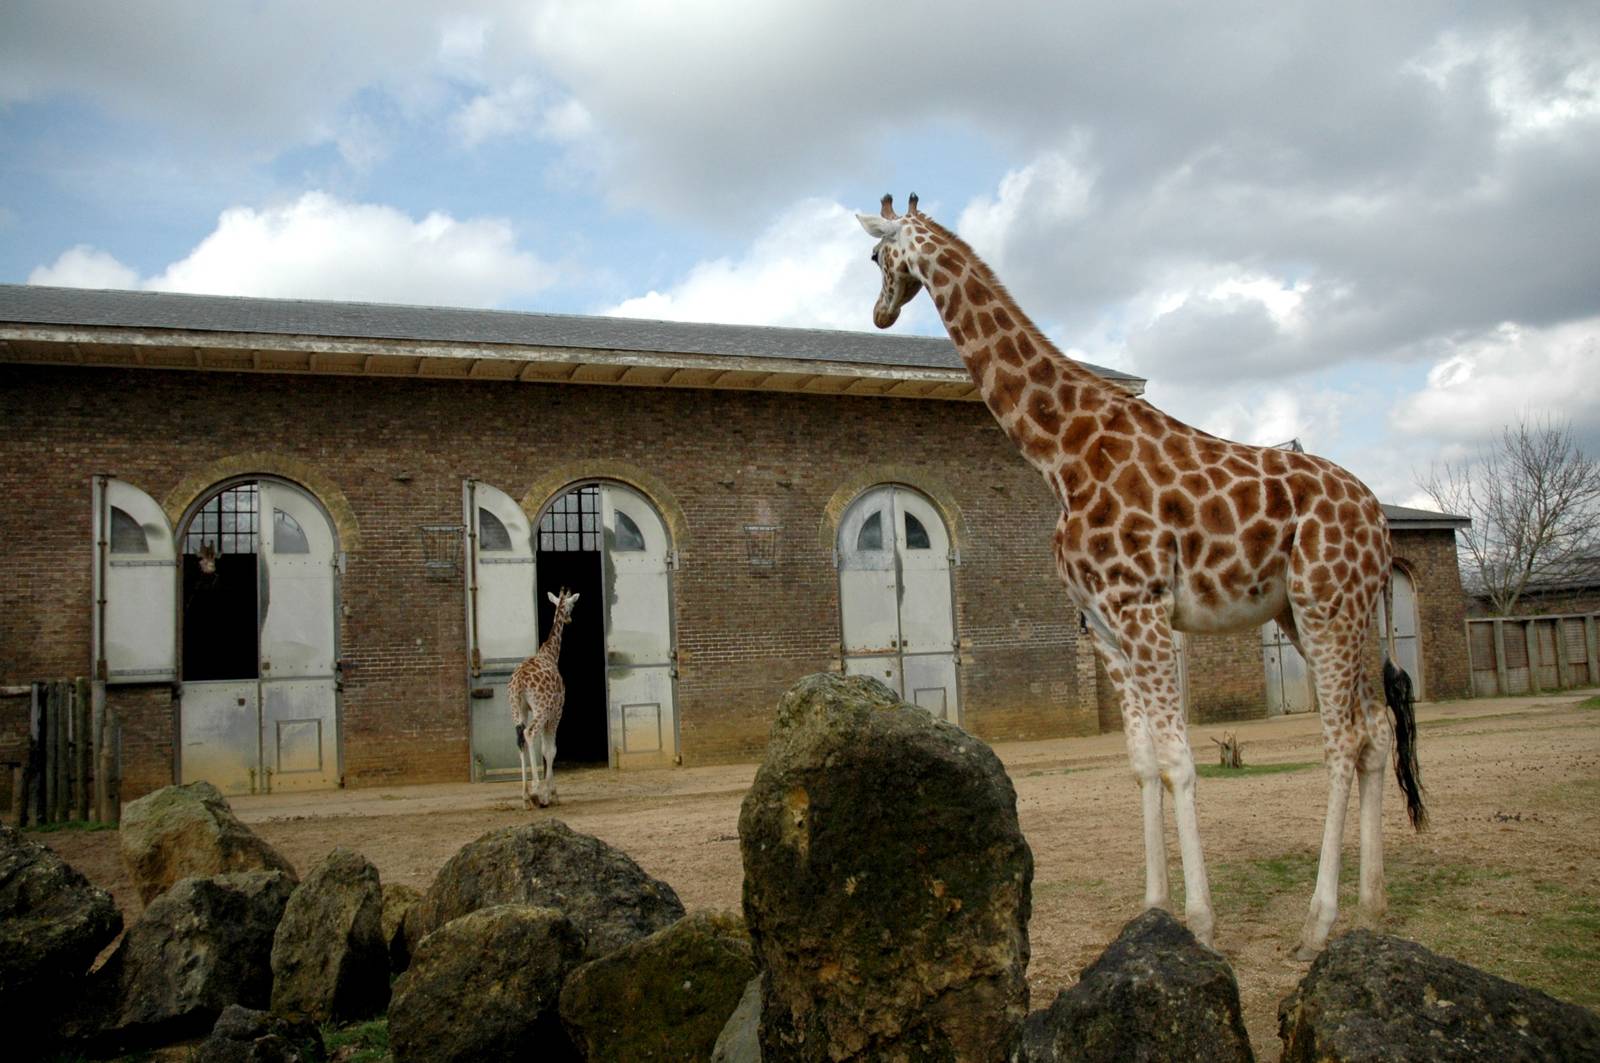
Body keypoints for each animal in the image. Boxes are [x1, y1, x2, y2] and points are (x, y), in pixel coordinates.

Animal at [507, 588, 580, 809]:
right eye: (572, 605)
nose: (570, 619)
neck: (550, 653)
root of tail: (520, 681)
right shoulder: (556, 710)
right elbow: (550, 750)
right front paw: (551, 794)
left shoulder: (541, 712)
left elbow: (545, 747)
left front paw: (546, 792)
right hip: (540, 708)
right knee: (529, 733)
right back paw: (536, 790)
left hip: (517, 708)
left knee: (520, 738)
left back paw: (525, 796)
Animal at [858, 194, 1425, 958]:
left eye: (875, 256)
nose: (880, 313)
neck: (1062, 452)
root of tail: (1381, 522)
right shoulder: (1103, 624)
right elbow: (1142, 763)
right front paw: (1153, 909)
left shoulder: (1144, 606)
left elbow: (1181, 761)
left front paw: (1203, 922)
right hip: (1327, 614)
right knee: (1375, 731)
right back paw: (1372, 908)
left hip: (1325, 604)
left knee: (1342, 740)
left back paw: (1318, 923)